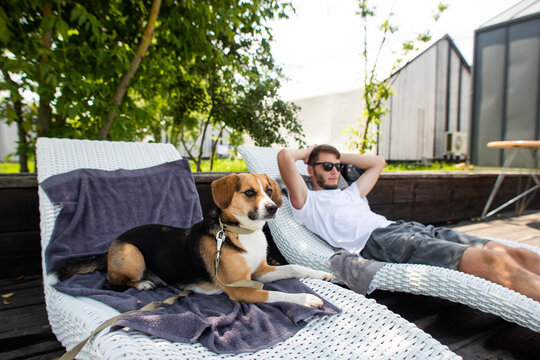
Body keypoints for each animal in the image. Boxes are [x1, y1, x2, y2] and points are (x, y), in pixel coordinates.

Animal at [54, 173, 334, 308]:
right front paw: (306, 299)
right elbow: (275, 295)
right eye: (249, 192)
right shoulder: (240, 289)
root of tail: (111, 246)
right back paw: (143, 283)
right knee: (114, 280)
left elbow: (293, 267)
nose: (273, 208)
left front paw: (321, 274)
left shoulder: (260, 272)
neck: (242, 232)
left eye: (268, 190)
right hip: (132, 254)